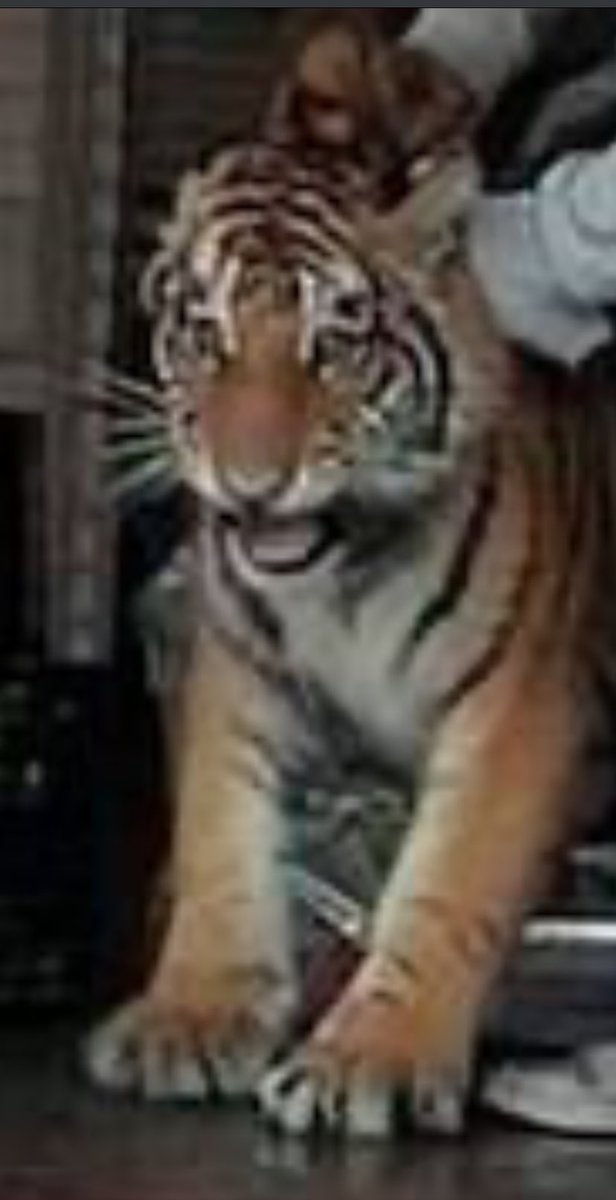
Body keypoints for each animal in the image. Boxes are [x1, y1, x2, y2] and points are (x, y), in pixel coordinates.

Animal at [83, 49, 616, 1140]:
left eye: (338, 339)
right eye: (204, 331)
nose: (251, 481)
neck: (338, 584)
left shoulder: (520, 707)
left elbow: (450, 884)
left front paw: (373, 1059)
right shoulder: (234, 678)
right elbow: (218, 843)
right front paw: (191, 1017)